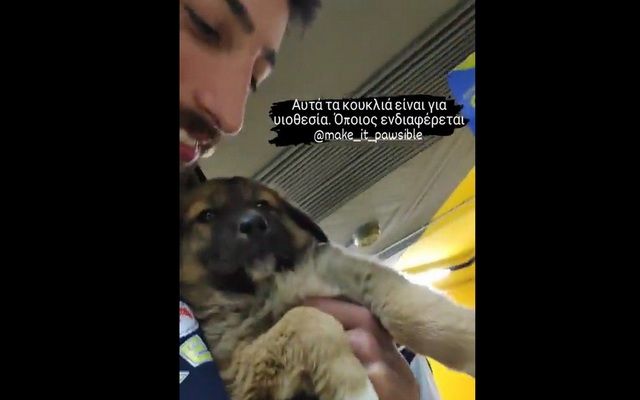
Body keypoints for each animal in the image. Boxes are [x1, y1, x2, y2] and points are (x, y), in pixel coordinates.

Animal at [180, 176, 475, 400]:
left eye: (262, 204)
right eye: (207, 215)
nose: (253, 224)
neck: (269, 287)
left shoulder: (341, 267)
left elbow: (408, 307)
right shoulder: (238, 374)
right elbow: (306, 320)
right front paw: (355, 391)